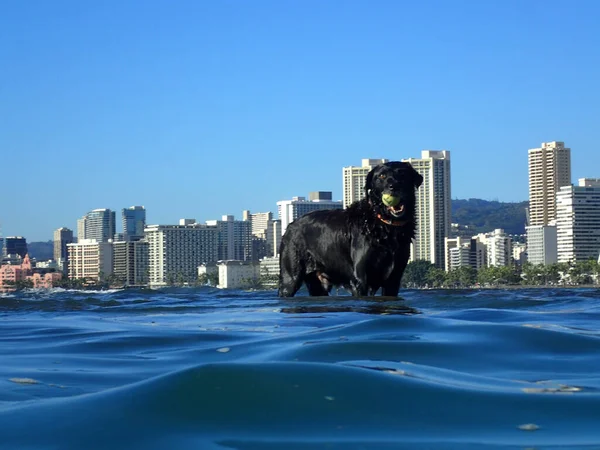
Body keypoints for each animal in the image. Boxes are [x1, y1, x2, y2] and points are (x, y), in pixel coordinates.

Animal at [280, 160, 424, 298]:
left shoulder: (393, 280)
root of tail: (290, 225)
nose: (394, 186)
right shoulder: (361, 279)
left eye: (403, 174)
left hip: (318, 285)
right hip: (290, 278)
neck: (383, 223)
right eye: (382, 176)